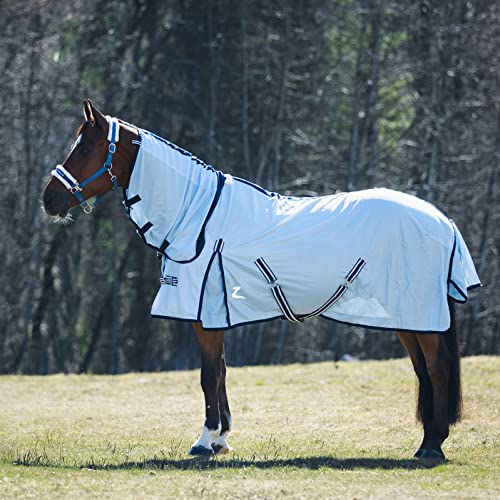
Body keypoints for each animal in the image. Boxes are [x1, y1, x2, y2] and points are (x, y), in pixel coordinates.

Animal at [42, 100, 464, 460]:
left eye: (84, 148)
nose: (49, 200)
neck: (197, 216)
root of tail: (443, 221)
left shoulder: (204, 317)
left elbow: (208, 375)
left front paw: (205, 440)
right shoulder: (215, 315)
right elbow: (222, 371)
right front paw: (222, 438)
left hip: (420, 315)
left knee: (438, 367)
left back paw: (433, 447)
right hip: (409, 319)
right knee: (423, 371)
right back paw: (426, 442)